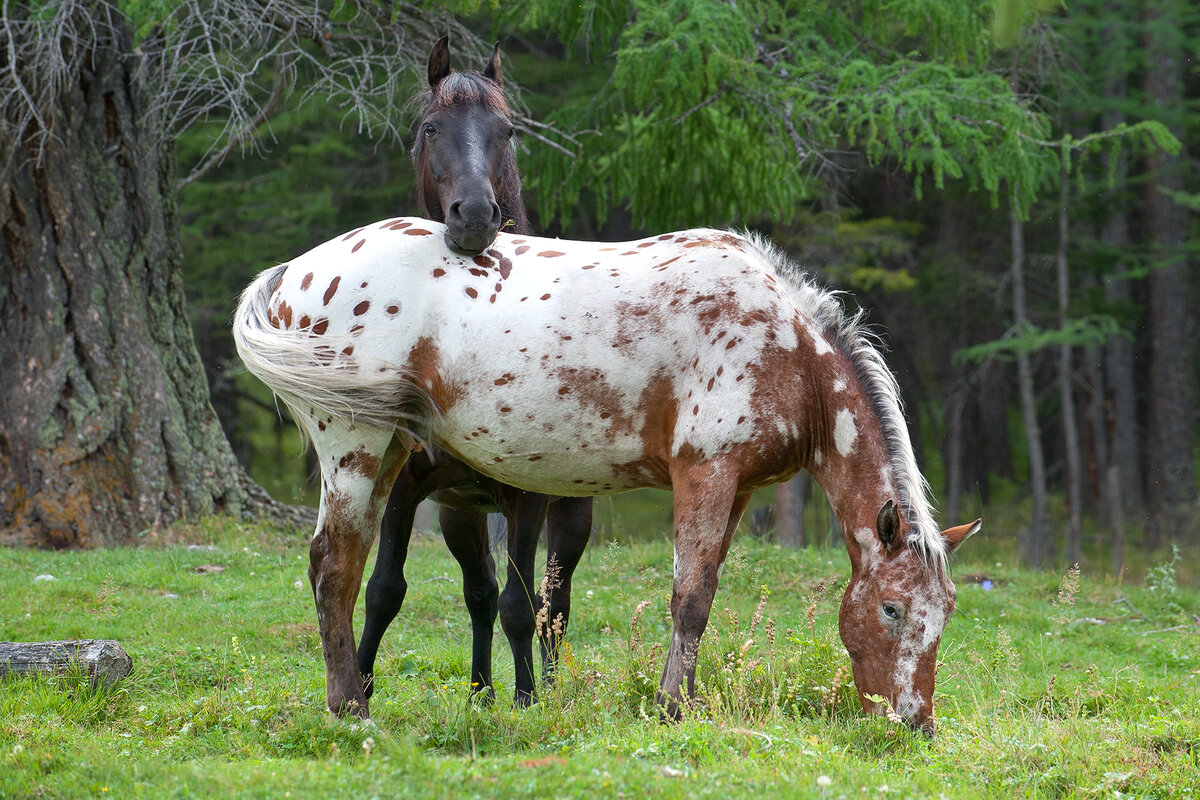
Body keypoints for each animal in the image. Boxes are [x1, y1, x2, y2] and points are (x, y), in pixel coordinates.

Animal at [231, 219, 974, 734]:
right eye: (892, 609)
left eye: (945, 613)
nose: (917, 722)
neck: (784, 348)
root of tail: (298, 271)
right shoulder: (705, 473)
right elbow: (690, 597)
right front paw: (673, 708)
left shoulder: (735, 490)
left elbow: (702, 597)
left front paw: (684, 698)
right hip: (353, 446)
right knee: (333, 568)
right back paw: (350, 708)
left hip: (390, 459)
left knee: (356, 570)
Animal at [352, 37, 592, 705]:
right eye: (431, 128)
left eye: (506, 131)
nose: (476, 215)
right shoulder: (407, 487)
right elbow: (385, 592)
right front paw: (356, 691)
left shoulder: (528, 499)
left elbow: (523, 604)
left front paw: (528, 702)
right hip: (462, 511)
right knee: (480, 593)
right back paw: (481, 690)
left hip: (569, 511)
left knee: (553, 602)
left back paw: (547, 689)